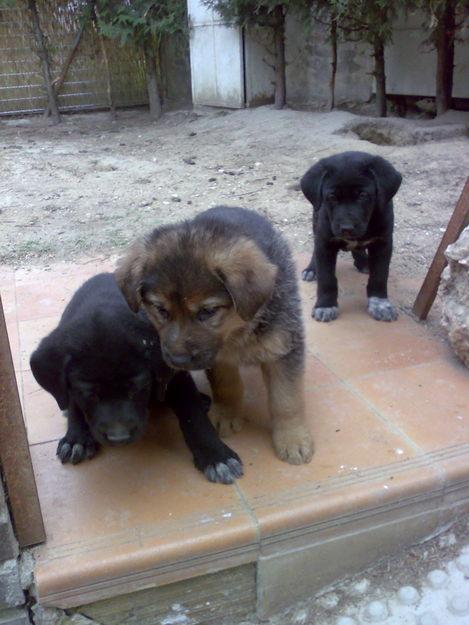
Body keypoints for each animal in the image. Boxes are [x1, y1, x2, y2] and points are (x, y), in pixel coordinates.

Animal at [29, 272, 241, 482]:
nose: (119, 438)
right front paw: (76, 437)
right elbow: (73, 402)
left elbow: (192, 413)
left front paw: (216, 455)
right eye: (89, 394)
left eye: (139, 388)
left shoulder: (174, 376)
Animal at [115, 205, 312, 464]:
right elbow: (226, 386)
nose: (177, 361)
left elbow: (286, 399)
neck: (237, 332)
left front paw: (293, 438)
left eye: (207, 311)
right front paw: (227, 414)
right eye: (160, 310)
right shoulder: (218, 358)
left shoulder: (283, 348)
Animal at [302, 151, 400, 322]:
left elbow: (380, 276)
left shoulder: (383, 242)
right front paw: (325, 305)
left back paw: (363, 262)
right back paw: (312, 269)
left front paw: (380, 304)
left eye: (362, 195)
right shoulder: (325, 241)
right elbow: (326, 278)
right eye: (332, 197)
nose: (346, 228)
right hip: (316, 221)